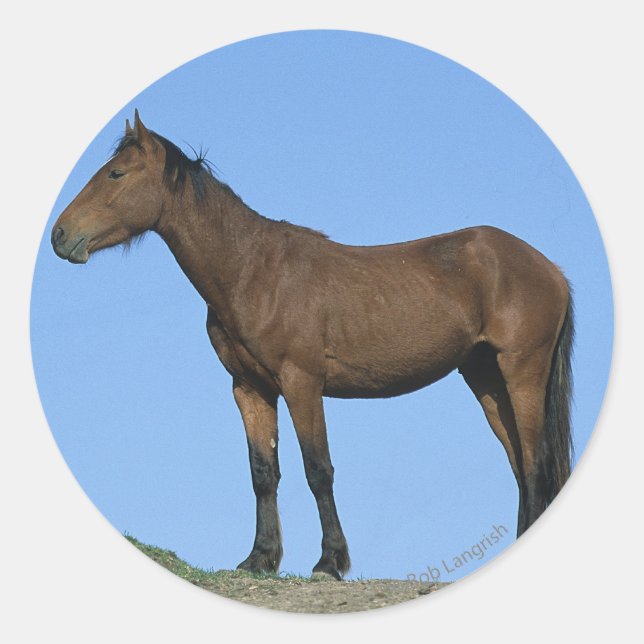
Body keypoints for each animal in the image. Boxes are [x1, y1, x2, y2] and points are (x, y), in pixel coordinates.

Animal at [51, 111, 574, 580]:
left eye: (116, 173)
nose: (60, 235)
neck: (251, 269)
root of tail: (549, 268)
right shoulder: (250, 388)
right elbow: (263, 472)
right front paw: (260, 559)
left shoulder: (302, 383)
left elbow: (317, 469)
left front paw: (329, 563)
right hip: (485, 378)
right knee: (519, 463)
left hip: (521, 372)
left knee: (534, 462)